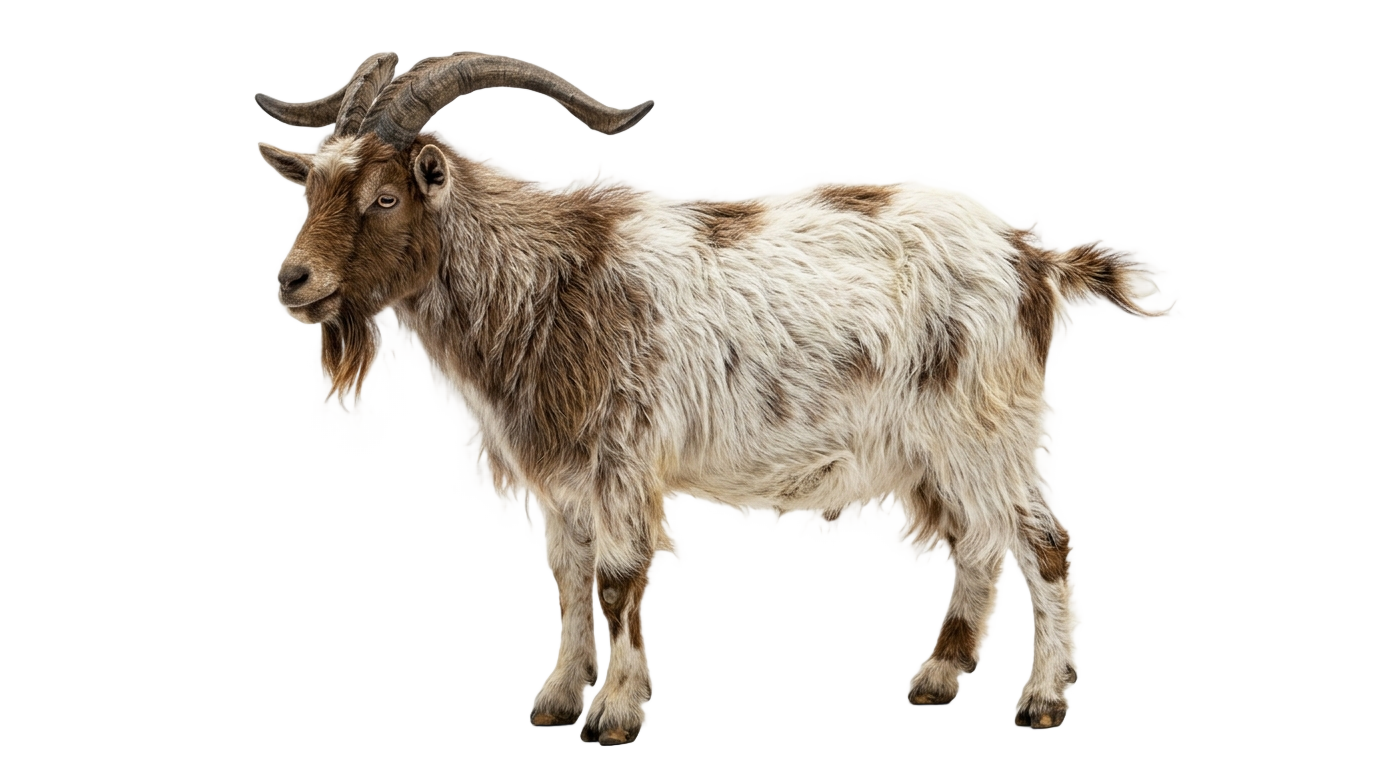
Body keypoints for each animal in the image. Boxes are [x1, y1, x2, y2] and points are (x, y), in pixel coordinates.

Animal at [254, 51, 1162, 743]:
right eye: (312, 190)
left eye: (384, 196)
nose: (293, 280)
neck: (548, 284)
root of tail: (1028, 259)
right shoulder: (565, 480)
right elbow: (566, 583)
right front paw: (556, 703)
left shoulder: (623, 460)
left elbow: (618, 580)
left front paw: (615, 715)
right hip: (934, 444)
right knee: (974, 540)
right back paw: (937, 678)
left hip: (985, 424)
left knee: (1041, 539)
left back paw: (1042, 701)